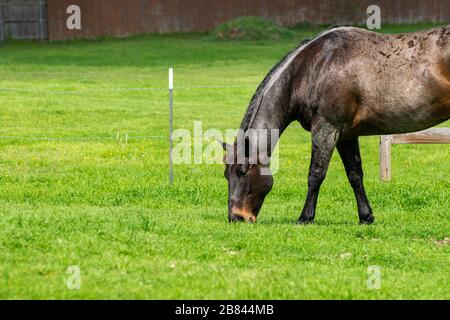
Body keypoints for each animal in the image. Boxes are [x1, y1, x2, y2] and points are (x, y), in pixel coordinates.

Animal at [221, 25, 450, 224]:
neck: (312, 68)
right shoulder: (345, 136)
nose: (237, 217)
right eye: (226, 174)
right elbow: (355, 175)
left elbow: (316, 174)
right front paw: (366, 216)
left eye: (242, 171)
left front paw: (305, 218)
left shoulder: (325, 130)